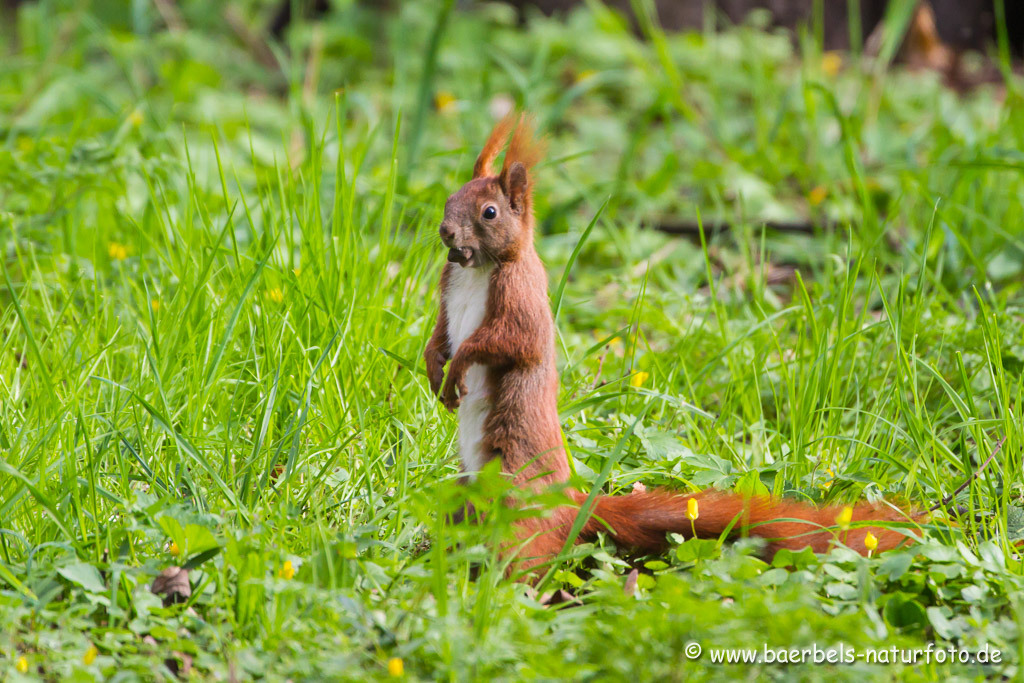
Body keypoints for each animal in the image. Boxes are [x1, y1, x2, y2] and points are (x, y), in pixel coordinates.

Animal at [419, 112, 917, 577]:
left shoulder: (521, 297)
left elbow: (509, 342)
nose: (445, 231)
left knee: (528, 558)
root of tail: (572, 506)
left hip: (514, 498)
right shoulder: (449, 290)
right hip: (463, 497)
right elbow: (440, 331)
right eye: (450, 199)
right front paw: (433, 366)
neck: (477, 268)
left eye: (489, 212)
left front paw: (457, 366)